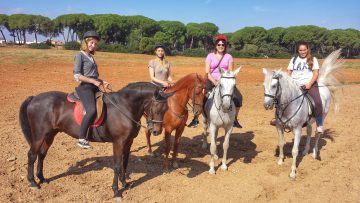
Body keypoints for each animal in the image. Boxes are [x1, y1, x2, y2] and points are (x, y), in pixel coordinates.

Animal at [19, 81, 174, 199]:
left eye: (166, 108)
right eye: (156, 107)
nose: (157, 131)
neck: (125, 106)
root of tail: (34, 98)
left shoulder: (128, 142)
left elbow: (125, 163)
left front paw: (125, 184)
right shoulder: (118, 142)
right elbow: (117, 165)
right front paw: (116, 191)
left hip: (50, 134)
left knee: (42, 154)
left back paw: (42, 178)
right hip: (39, 135)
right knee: (32, 155)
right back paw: (33, 182)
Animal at [262, 49, 344, 179]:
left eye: (274, 86)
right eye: (263, 86)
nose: (267, 105)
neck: (288, 105)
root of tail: (322, 83)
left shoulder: (297, 129)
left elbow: (294, 150)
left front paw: (292, 172)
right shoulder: (279, 127)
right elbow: (281, 143)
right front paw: (280, 161)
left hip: (322, 117)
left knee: (317, 133)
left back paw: (314, 154)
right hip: (309, 121)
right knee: (310, 131)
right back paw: (306, 151)